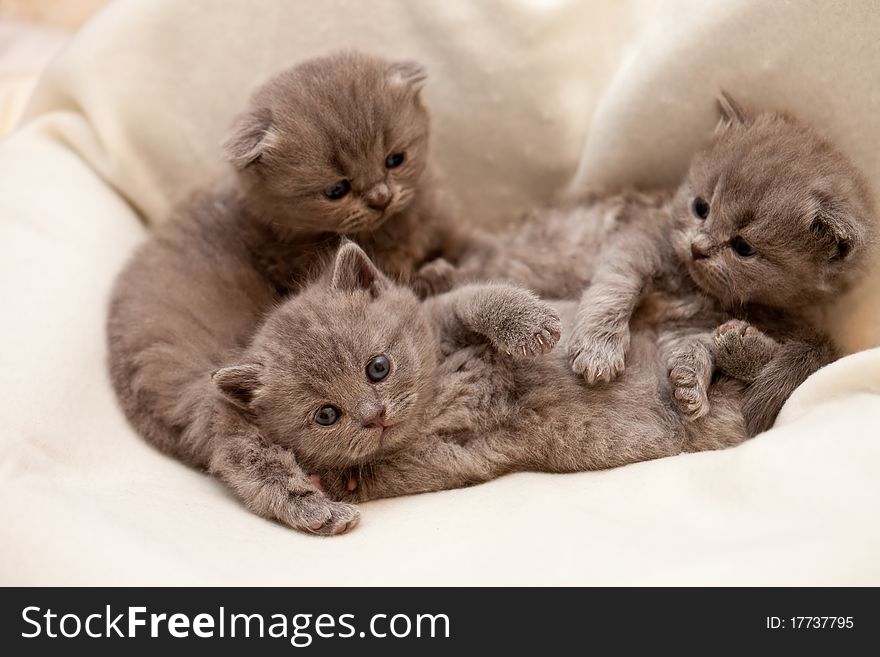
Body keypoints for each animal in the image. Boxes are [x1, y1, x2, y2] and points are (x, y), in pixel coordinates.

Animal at [426, 95, 872, 436]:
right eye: (700, 207)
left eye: (743, 247)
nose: (697, 247)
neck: (691, 288)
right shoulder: (634, 243)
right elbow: (615, 289)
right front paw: (598, 349)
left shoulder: (690, 323)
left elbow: (694, 344)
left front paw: (691, 381)